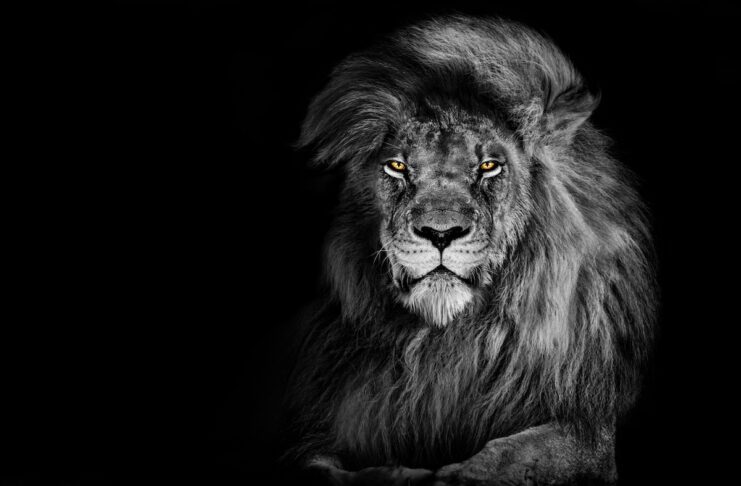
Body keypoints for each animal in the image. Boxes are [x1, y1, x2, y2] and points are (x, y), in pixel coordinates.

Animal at [283, 15, 657, 486]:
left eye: (489, 166)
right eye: (397, 166)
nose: (440, 233)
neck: (447, 340)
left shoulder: (588, 429)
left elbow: (514, 456)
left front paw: (452, 475)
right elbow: (320, 465)